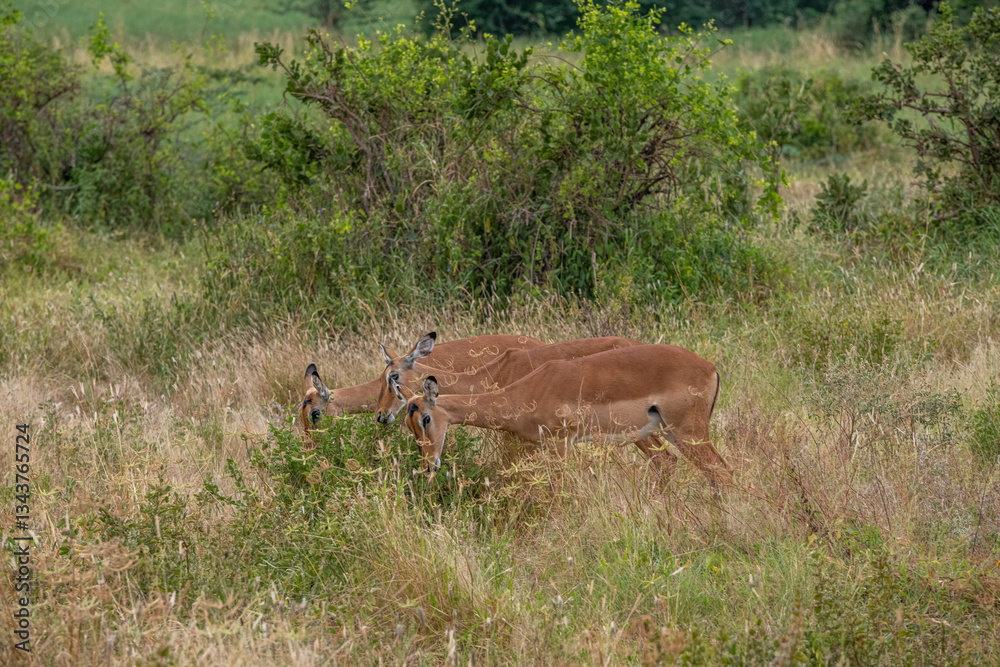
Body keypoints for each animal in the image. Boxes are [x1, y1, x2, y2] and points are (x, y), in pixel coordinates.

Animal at [399, 344, 732, 485]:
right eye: (409, 426)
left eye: (426, 418)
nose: (428, 465)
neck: (527, 391)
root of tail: (710, 367)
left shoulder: (561, 444)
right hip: (667, 432)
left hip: (689, 433)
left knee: (722, 471)